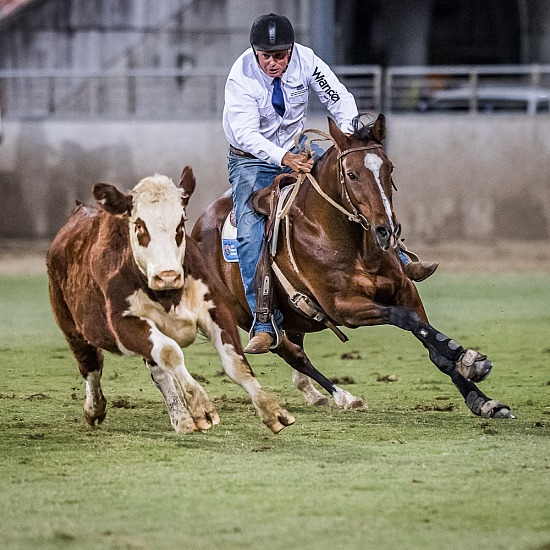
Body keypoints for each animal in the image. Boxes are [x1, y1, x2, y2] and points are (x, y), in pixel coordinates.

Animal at [46, 168, 298, 436]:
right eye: (139, 225)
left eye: (180, 224)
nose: (167, 275)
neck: (167, 295)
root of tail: (79, 212)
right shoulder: (124, 324)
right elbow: (171, 353)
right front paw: (201, 407)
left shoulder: (215, 309)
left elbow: (234, 362)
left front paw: (271, 410)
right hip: (71, 326)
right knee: (91, 366)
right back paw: (95, 409)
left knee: (158, 373)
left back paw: (182, 419)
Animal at [192, 114, 516, 420]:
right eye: (351, 174)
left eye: (389, 168)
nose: (387, 230)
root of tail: (196, 229)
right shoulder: (344, 307)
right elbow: (406, 318)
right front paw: (468, 357)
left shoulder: (405, 290)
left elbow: (429, 340)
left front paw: (482, 398)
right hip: (251, 317)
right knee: (293, 354)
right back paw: (344, 397)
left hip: (293, 318)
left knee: (297, 352)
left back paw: (314, 394)